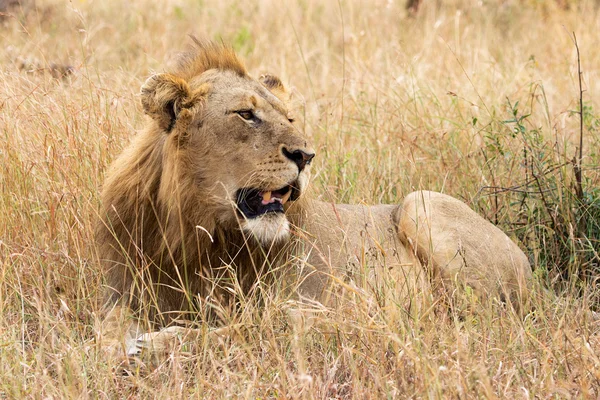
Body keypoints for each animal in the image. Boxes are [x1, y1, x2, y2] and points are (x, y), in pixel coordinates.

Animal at [96, 39, 532, 360]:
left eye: (289, 118)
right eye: (245, 115)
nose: (306, 156)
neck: (191, 228)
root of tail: (529, 265)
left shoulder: (292, 307)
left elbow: (244, 327)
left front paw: (155, 343)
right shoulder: (124, 291)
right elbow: (105, 328)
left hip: (420, 204)